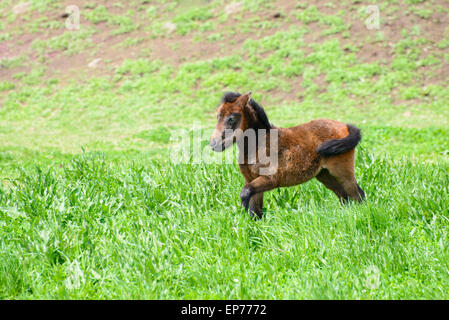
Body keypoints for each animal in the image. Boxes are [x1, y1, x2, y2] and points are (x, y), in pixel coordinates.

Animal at [210, 91, 364, 219]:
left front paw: (241, 215)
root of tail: (344, 126)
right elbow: (256, 212)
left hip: (342, 171)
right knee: (345, 197)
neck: (260, 143)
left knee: (357, 195)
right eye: (218, 116)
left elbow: (245, 193)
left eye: (231, 118)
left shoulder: (270, 179)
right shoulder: (251, 180)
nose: (214, 144)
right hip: (325, 175)